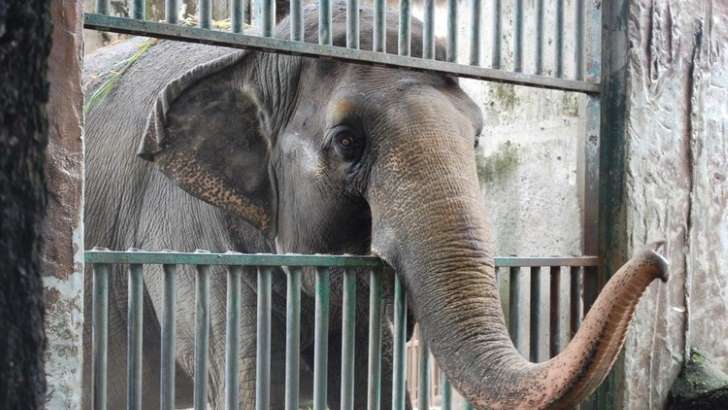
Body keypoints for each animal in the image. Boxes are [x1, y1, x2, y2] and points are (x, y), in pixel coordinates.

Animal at [82, 1, 668, 408]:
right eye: (347, 141)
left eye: (477, 137)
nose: (659, 257)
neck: (253, 55)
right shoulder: (185, 240)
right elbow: (251, 383)